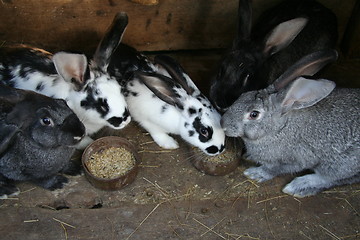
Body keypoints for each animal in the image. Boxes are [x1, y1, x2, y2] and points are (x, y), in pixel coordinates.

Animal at [221, 48, 360, 197]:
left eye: (254, 114)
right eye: (242, 96)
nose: (223, 124)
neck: (280, 128)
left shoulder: (296, 160)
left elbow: (274, 169)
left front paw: (255, 173)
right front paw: (249, 156)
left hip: (338, 164)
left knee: (332, 178)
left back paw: (299, 186)